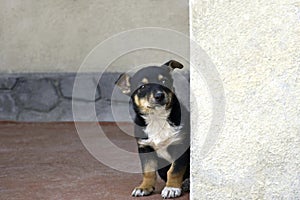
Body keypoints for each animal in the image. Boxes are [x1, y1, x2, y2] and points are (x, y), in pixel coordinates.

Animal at [115, 59, 190, 198]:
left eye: (164, 81)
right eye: (142, 86)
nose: (159, 96)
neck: (157, 119)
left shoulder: (180, 145)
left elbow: (174, 170)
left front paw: (171, 188)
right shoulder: (145, 147)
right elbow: (148, 171)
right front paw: (144, 187)